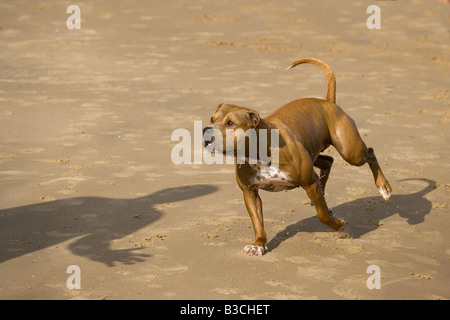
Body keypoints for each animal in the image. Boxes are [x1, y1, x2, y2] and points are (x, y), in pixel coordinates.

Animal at [202, 57, 392, 256]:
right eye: (212, 119)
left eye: (230, 123)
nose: (205, 131)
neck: (258, 151)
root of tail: (327, 102)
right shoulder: (250, 192)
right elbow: (257, 221)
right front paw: (258, 244)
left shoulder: (309, 182)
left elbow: (322, 215)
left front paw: (339, 225)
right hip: (313, 150)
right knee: (328, 161)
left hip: (350, 151)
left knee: (369, 152)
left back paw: (384, 188)